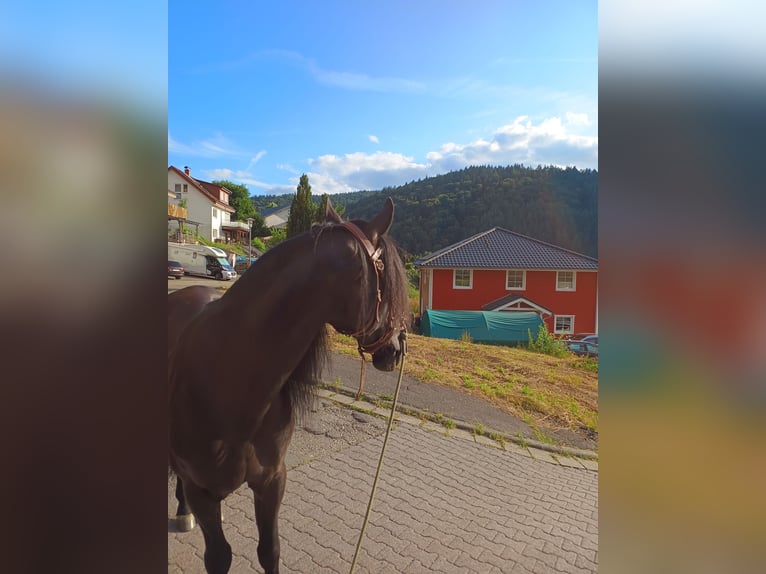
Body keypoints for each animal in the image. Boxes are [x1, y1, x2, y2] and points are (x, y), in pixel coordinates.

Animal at [168, 197, 410, 574]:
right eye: (387, 274)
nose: (398, 347)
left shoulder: (271, 481)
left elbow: (270, 550)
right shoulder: (202, 490)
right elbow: (218, 557)